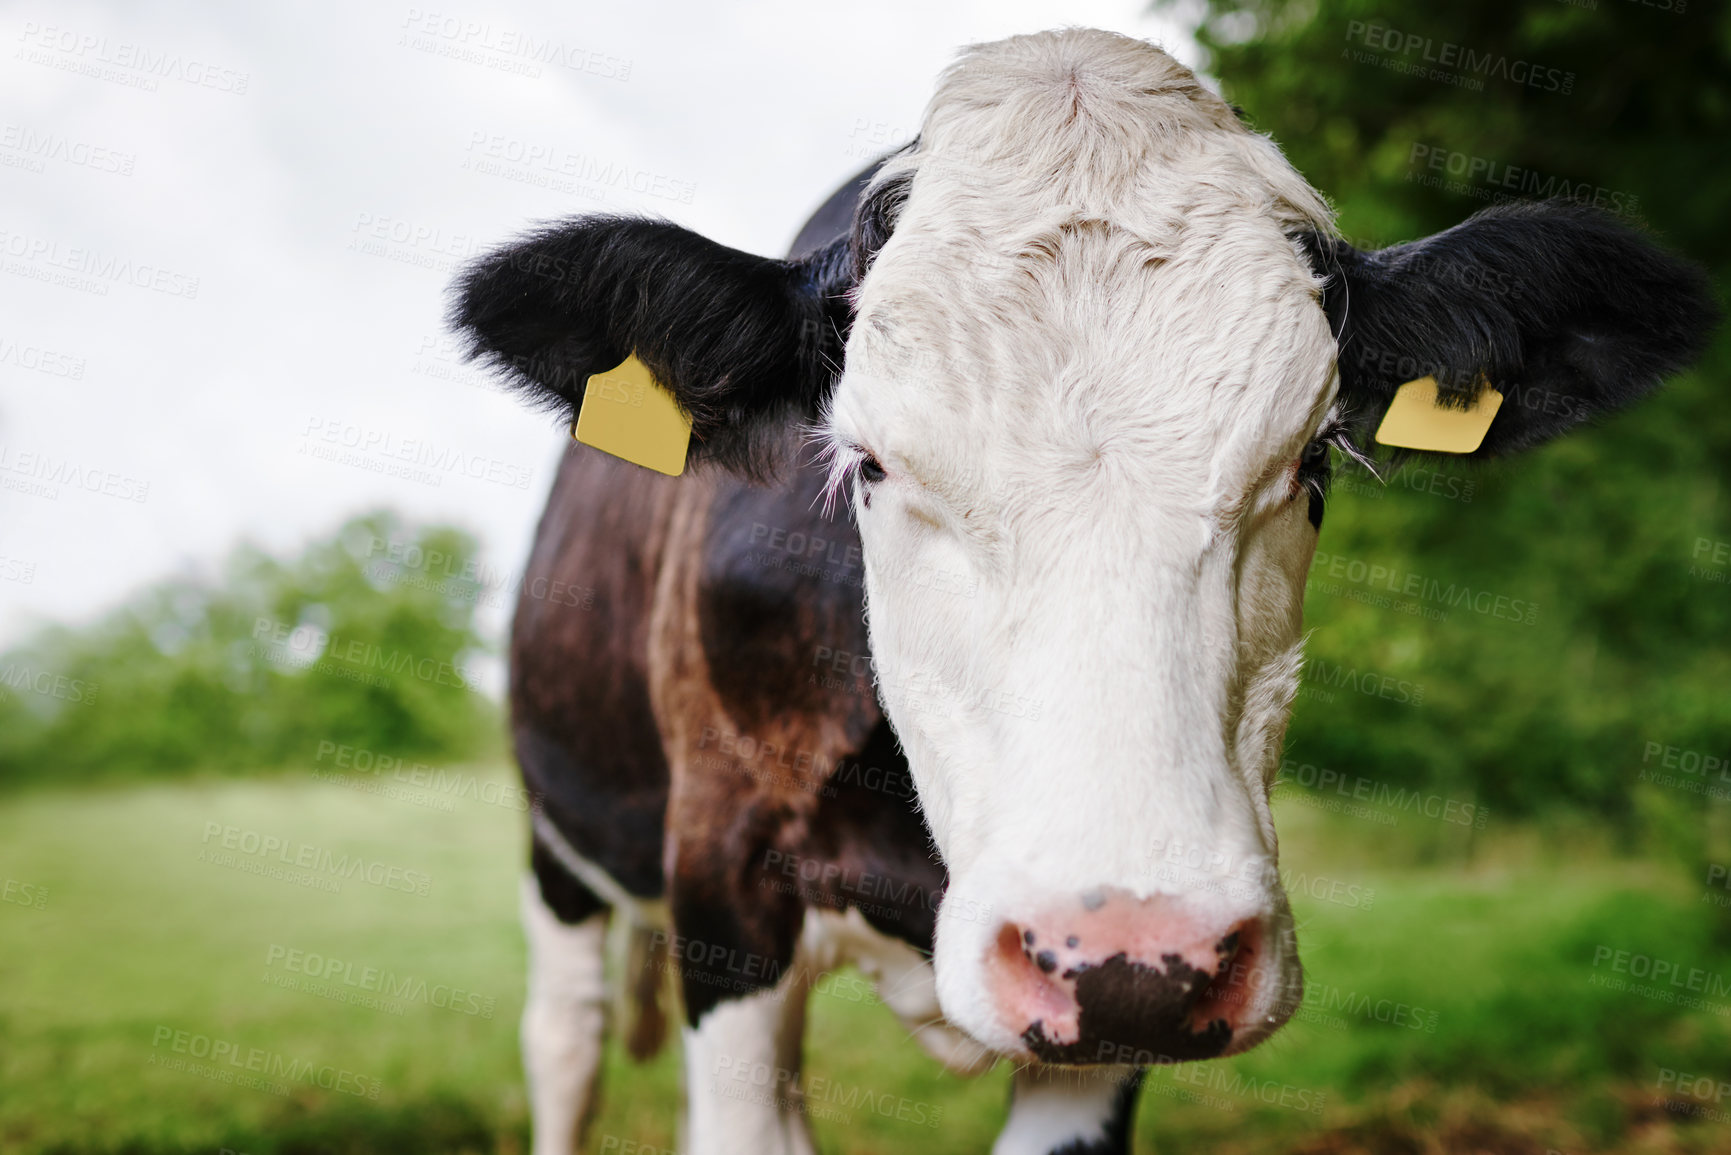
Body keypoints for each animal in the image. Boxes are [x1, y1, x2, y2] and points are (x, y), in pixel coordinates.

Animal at [453, 27, 1724, 1155]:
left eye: (1313, 461)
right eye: (867, 463)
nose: (1132, 952)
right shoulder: (726, 891)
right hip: (560, 834)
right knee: (563, 1041)